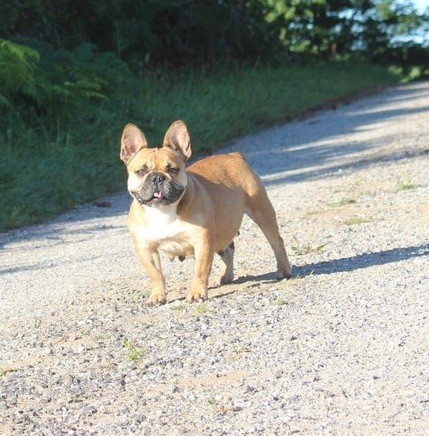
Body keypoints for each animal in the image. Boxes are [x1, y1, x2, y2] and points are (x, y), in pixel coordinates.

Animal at [119, 119, 290, 304]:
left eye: (173, 170)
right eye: (141, 171)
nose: (158, 177)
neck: (163, 211)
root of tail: (234, 156)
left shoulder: (203, 241)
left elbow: (200, 270)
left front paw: (197, 293)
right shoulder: (145, 248)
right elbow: (155, 274)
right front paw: (157, 296)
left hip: (261, 212)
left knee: (276, 242)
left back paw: (284, 270)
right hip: (224, 227)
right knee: (228, 249)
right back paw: (225, 276)